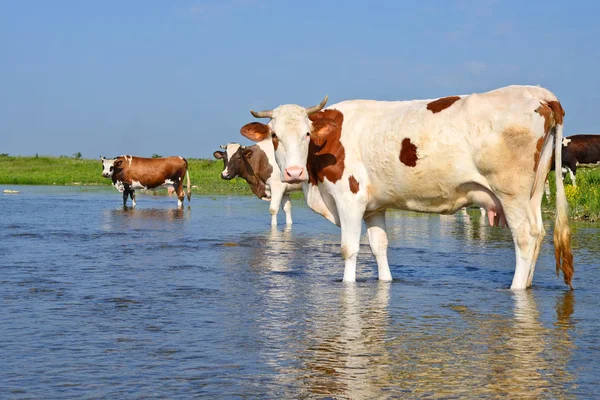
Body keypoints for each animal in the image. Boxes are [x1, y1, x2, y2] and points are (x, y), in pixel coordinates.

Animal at [241, 85, 576, 290]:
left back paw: (516, 288)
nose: (293, 172)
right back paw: (528, 284)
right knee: (539, 232)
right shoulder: (373, 207)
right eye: (274, 135)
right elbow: (379, 247)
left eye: (308, 134)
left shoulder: (349, 200)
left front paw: (347, 285)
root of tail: (538, 93)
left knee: (525, 237)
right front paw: (385, 282)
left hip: (511, 193)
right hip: (533, 192)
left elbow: (350, 249)